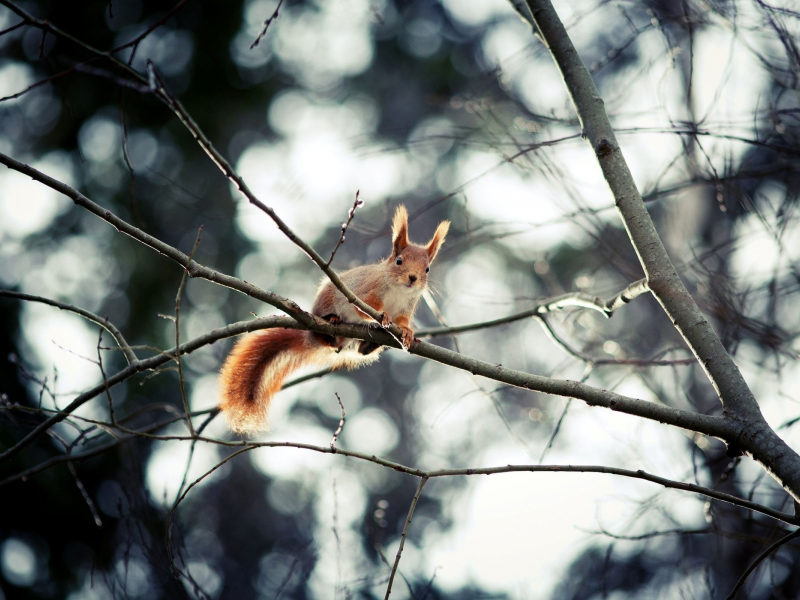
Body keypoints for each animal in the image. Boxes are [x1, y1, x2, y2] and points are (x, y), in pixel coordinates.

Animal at [217, 206, 450, 436]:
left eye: (427, 269)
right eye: (399, 261)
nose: (413, 278)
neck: (399, 290)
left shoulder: (406, 308)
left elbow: (402, 322)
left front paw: (407, 333)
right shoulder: (365, 293)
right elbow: (366, 307)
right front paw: (382, 315)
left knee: (358, 351)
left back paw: (367, 344)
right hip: (326, 302)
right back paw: (332, 320)